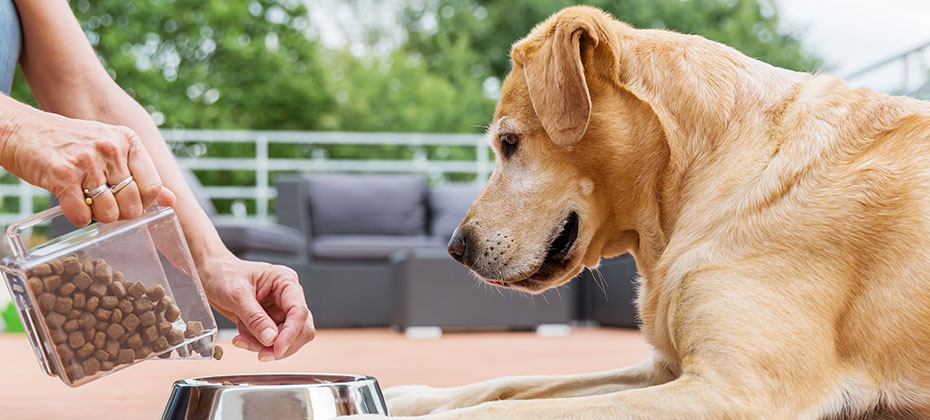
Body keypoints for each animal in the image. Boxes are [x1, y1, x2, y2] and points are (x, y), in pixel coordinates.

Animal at [354, 5, 928, 420]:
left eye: (510, 142)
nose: (455, 248)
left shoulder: (736, 390)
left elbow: (504, 411)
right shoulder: (665, 369)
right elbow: (512, 383)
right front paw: (407, 397)